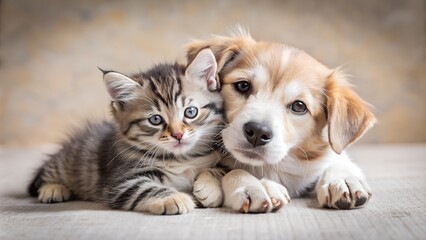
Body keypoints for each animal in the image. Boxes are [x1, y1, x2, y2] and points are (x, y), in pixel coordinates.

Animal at [28, 49, 225, 216]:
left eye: (190, 112)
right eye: (155, 119)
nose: (178, 135)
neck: (181, 159)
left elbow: (219, 170)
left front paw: (209, 188)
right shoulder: (121, 181)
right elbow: (146, 188)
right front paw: (174, 197)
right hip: (69, 161)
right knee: (44, 175)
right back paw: (53, 189)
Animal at [188, 31, 374, 213]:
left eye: (299, 106)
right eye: (243, 85)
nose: (257, 132)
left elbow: (337, 158)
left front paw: (342, 179)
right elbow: (233, 171)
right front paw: (252, 185)